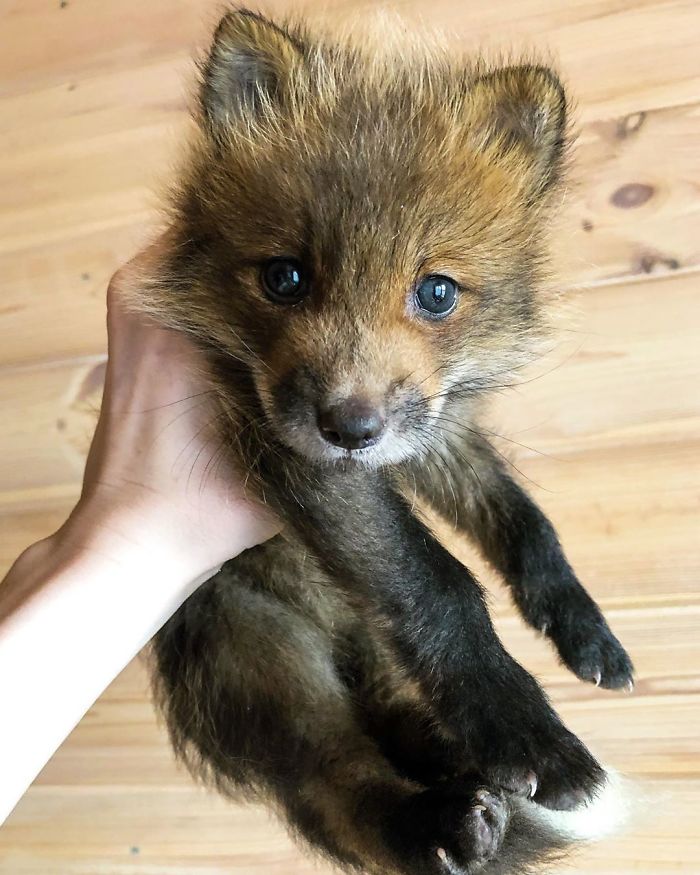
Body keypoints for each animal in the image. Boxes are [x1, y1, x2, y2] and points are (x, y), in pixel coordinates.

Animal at [139, 8, 635, 874]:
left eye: (435, 292)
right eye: (284, 278)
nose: (347, 426)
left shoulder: (423, 429)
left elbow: (526, 523)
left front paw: (580, 627)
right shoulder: (286, 449)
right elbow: (439, 581)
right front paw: (529, 732)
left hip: (370, 667)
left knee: (402, 731)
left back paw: (463, 788)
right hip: (268, 665)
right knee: (341, 783)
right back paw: (440, 819)